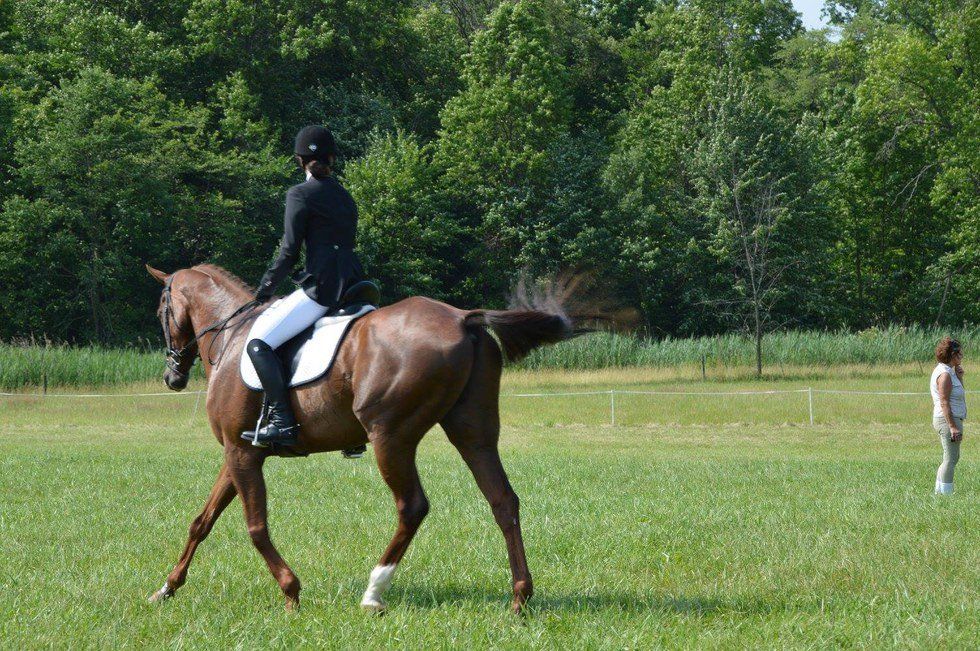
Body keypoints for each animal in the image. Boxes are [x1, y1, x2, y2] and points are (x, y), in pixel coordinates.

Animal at [143, 263, 611, 614]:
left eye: (161, 309)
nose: (172, 377)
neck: (231, 336)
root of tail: (463, 317)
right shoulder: (240, 452)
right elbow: (202, 521)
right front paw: (167, 588)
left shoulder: (243, 453)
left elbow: (255, 526)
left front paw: (291, 591)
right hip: (473, 433)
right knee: (503, 501)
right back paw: (520, 598)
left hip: (391, 437)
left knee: (413, 507)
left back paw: (374, 592)